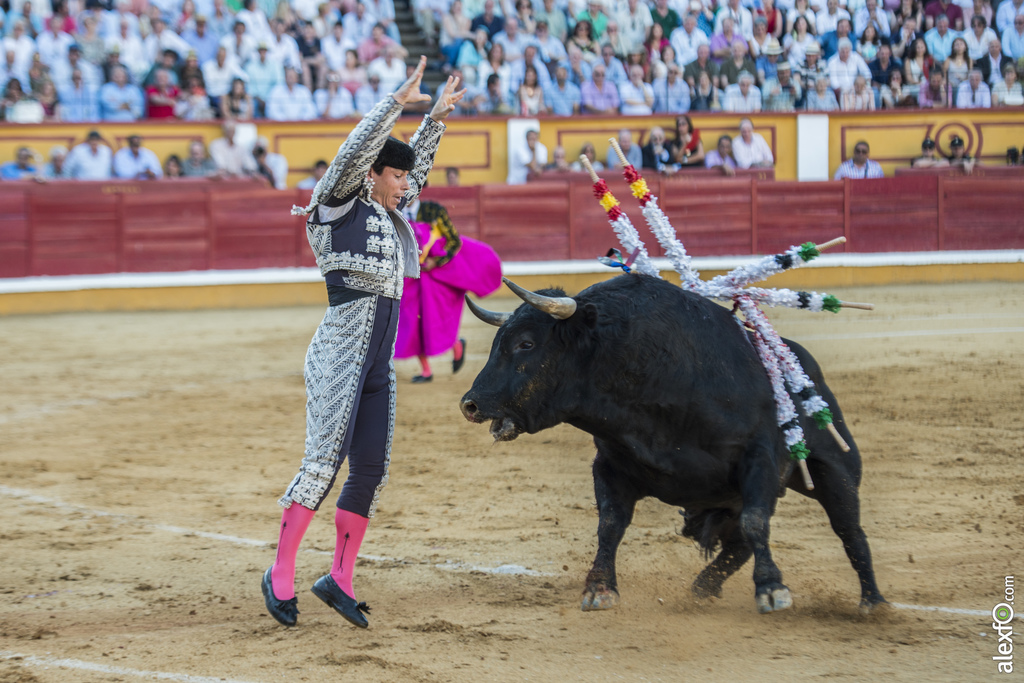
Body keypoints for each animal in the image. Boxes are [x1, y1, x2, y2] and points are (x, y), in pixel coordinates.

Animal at [460, 274, 884, 618]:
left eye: (526, 343)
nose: (470, 404)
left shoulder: (758, 458)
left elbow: (756, 521)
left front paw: (772, 589)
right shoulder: (610, 465)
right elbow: (610, 525)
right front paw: (599, 588)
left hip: (834, 470)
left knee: (849, 530)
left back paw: (872, 603)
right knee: (738, 544)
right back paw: (701, 590)